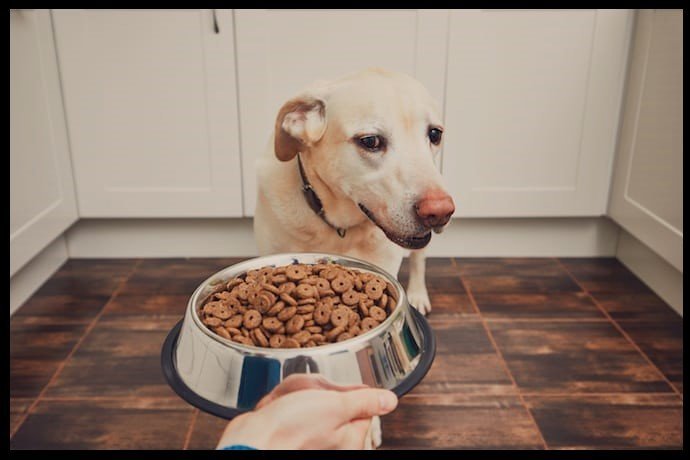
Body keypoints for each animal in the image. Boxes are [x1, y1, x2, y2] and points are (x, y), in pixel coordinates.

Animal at [251, 67, 452, 446]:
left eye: (434, 134)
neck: (336, 226)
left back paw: (418, 294)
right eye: (370, 141)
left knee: (419, 260)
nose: (440, 212)